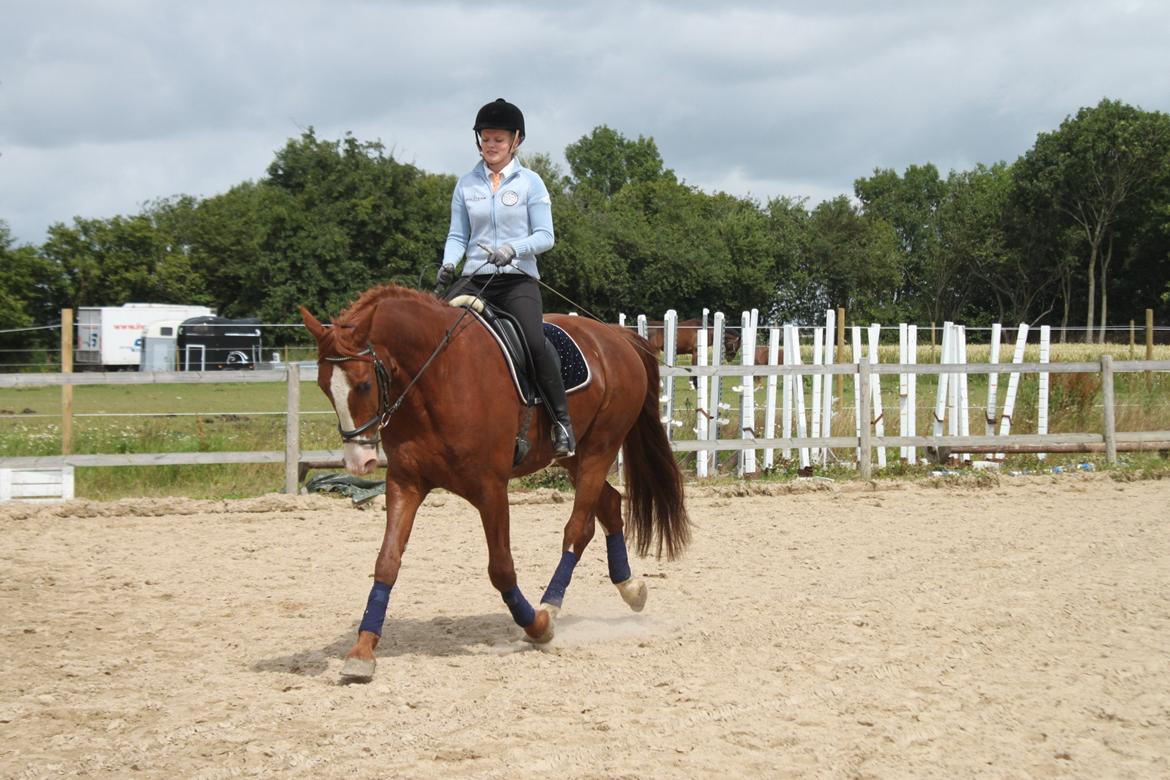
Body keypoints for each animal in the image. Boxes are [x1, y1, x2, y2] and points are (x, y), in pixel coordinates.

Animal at [299, 285, 692, 678]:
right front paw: (363, 651)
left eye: (364, 384)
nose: (358, 462)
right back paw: (631, 589)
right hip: (575, 458)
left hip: (600, 449)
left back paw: (551, 606)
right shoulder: (405, 483)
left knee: (578, 529)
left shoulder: (490, 488)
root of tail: (616, 336)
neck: (435, 378)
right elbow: (387, 561)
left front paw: (538, 627)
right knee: (609, 505)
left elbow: (501, 569)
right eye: (323, 387)